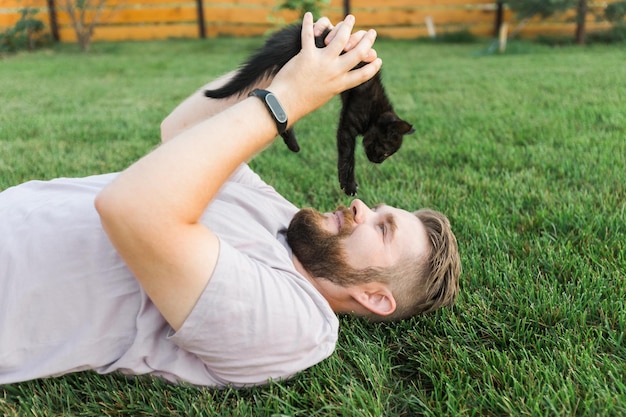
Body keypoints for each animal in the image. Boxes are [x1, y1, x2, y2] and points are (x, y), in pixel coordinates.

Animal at [202, 24, 412, 195]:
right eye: (386, 152)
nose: (377, 161)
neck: (377, 111)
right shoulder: (350, 122)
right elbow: (347, 155)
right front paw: (349, 185)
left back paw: (292, 143)